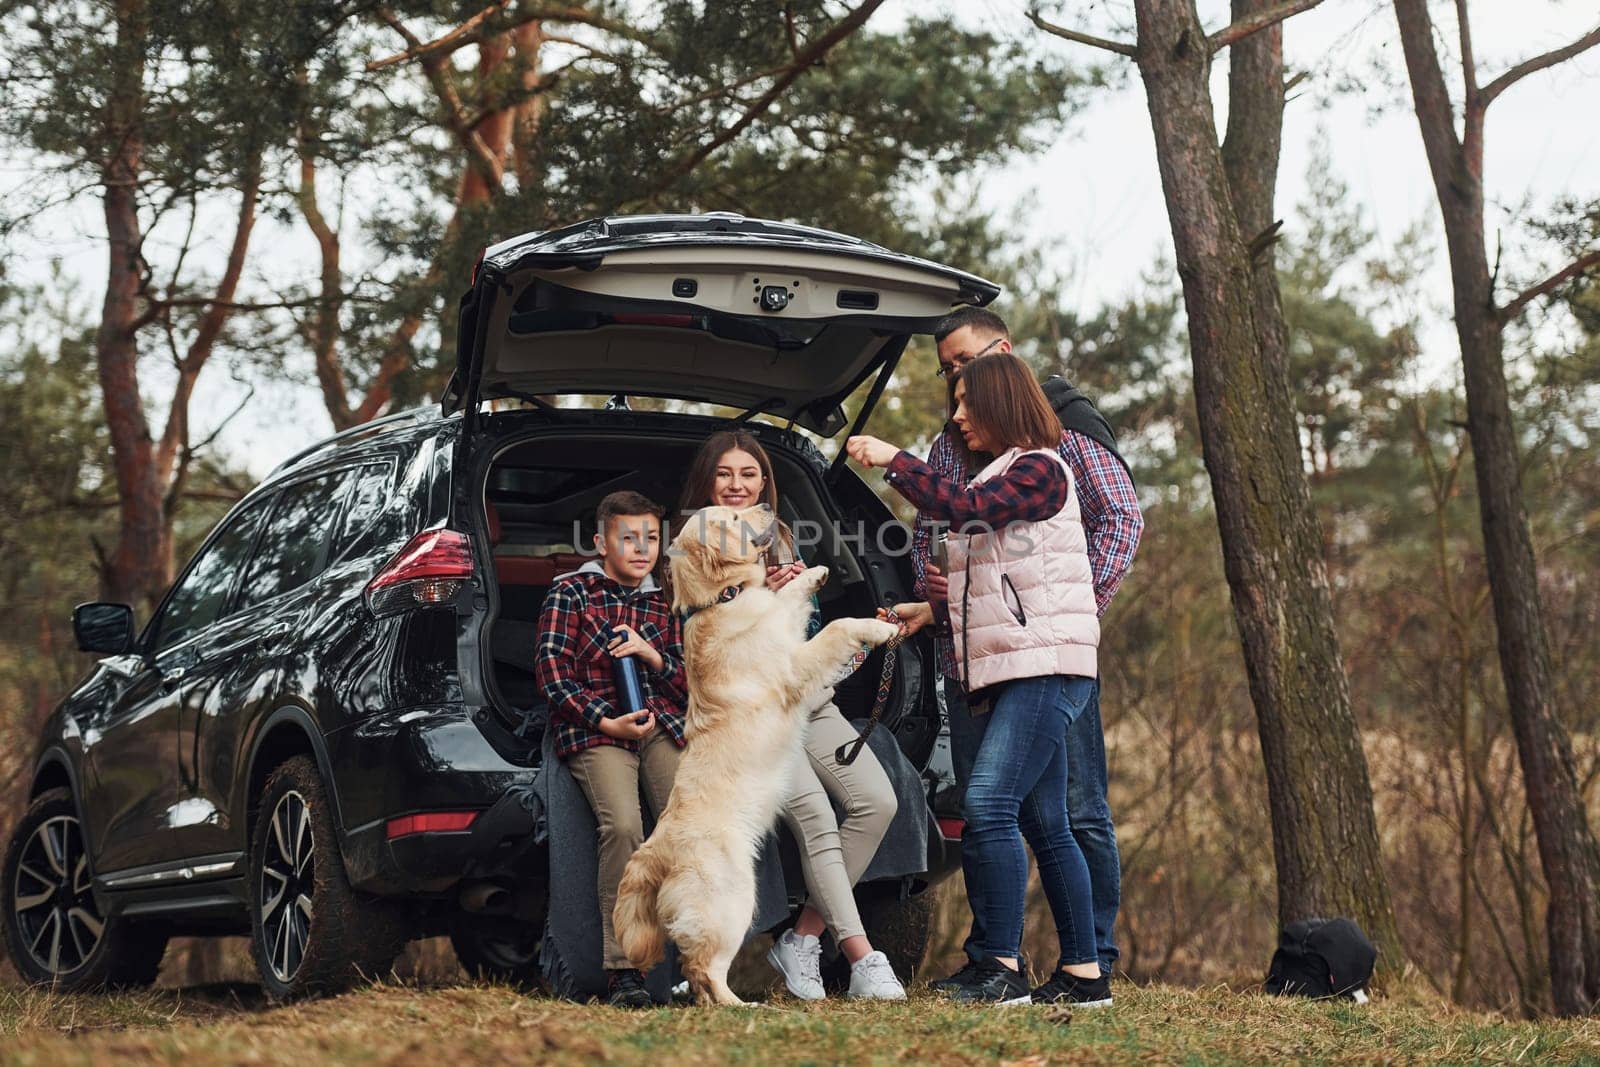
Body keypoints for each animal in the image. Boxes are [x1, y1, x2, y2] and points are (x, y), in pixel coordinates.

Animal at [611, 505, 902, 1004]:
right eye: (731, 515)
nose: (767, 506)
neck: (722, 599)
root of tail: (656, 849)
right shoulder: (794, 666)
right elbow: (839, 627)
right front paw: (880, 627)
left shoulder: (786, 626)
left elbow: (788, 600)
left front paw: (811, 575)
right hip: (732, 900)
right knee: (704, 966)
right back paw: (742, 1006)